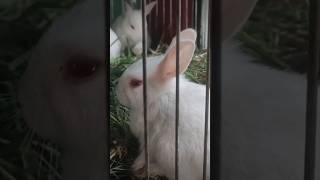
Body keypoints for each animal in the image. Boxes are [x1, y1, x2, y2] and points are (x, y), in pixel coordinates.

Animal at [115, 27, 210, 179]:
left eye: (136, 83)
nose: (117, 93)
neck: (160, 96)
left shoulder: (148, 137)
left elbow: (145, 154)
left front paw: (136, 165)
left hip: (169, 151)